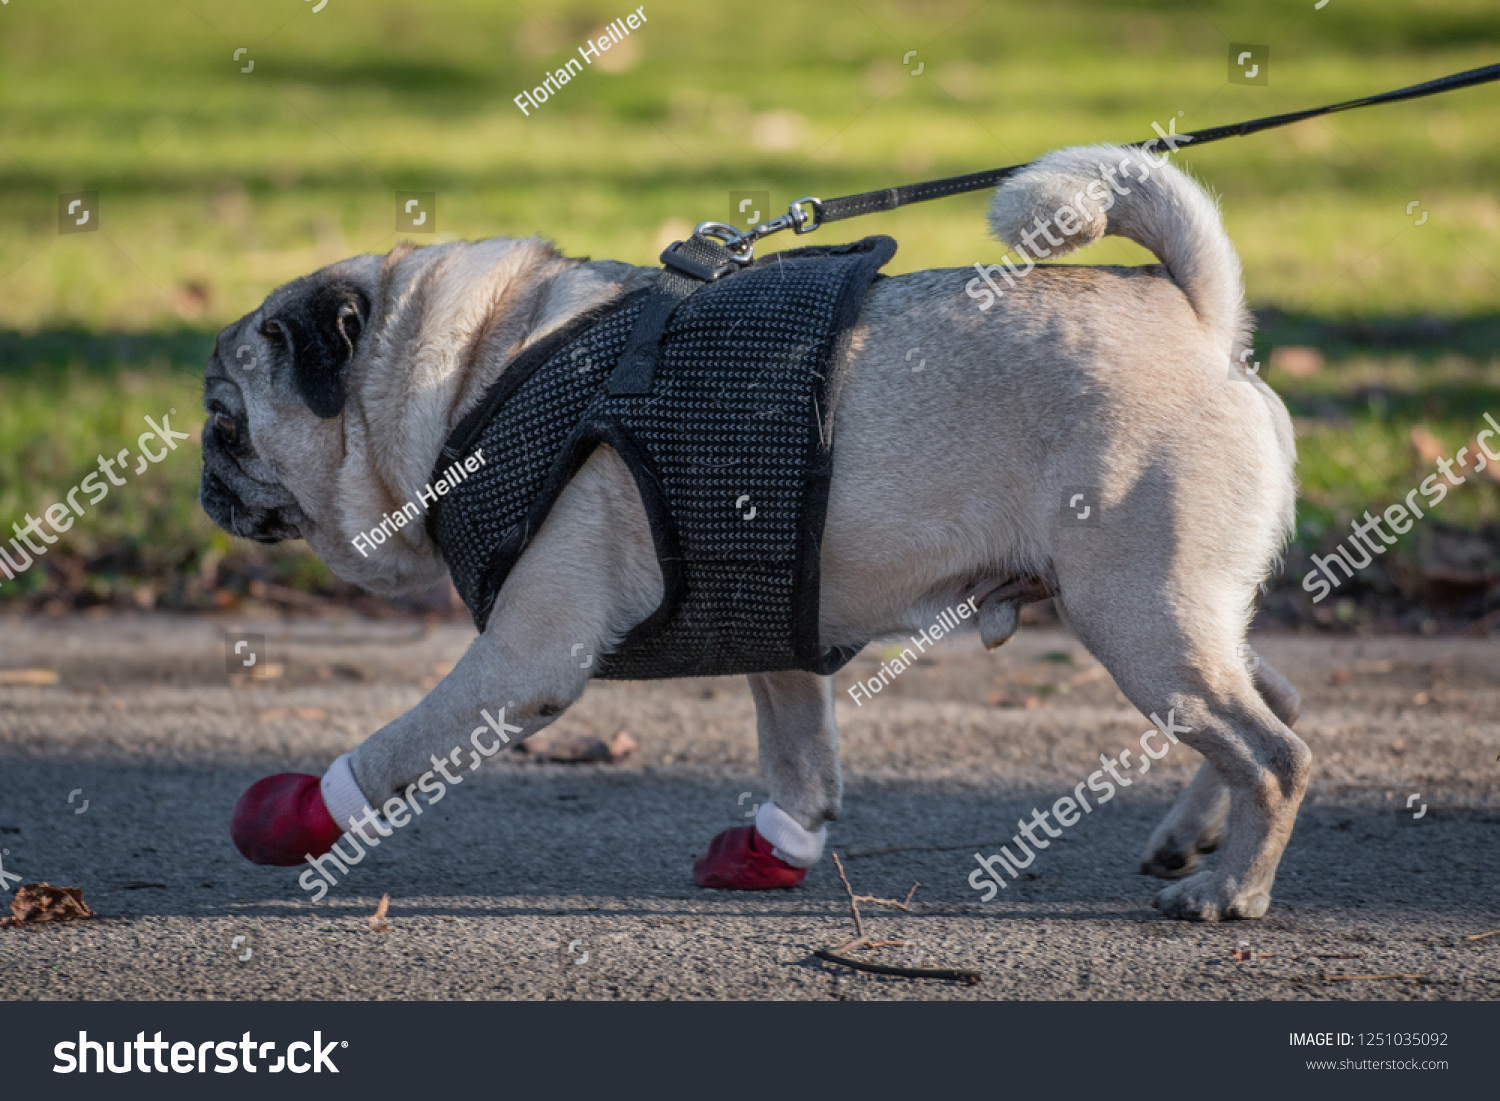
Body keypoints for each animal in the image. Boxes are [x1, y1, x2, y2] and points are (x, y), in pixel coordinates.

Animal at [205, 147, 1308, 924]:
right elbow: (800, 748)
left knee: (1276, 753)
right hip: (1174, 616)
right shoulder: (776, 596)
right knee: (1273, 703)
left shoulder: (524, 659)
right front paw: (781, 844)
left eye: (224, 423)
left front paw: (303, 813)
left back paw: (1229, 892)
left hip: (1138, 617)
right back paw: (1190, 840)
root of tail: (1201, 324)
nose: (205, 479)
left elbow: (398, 743)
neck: (474, 372)